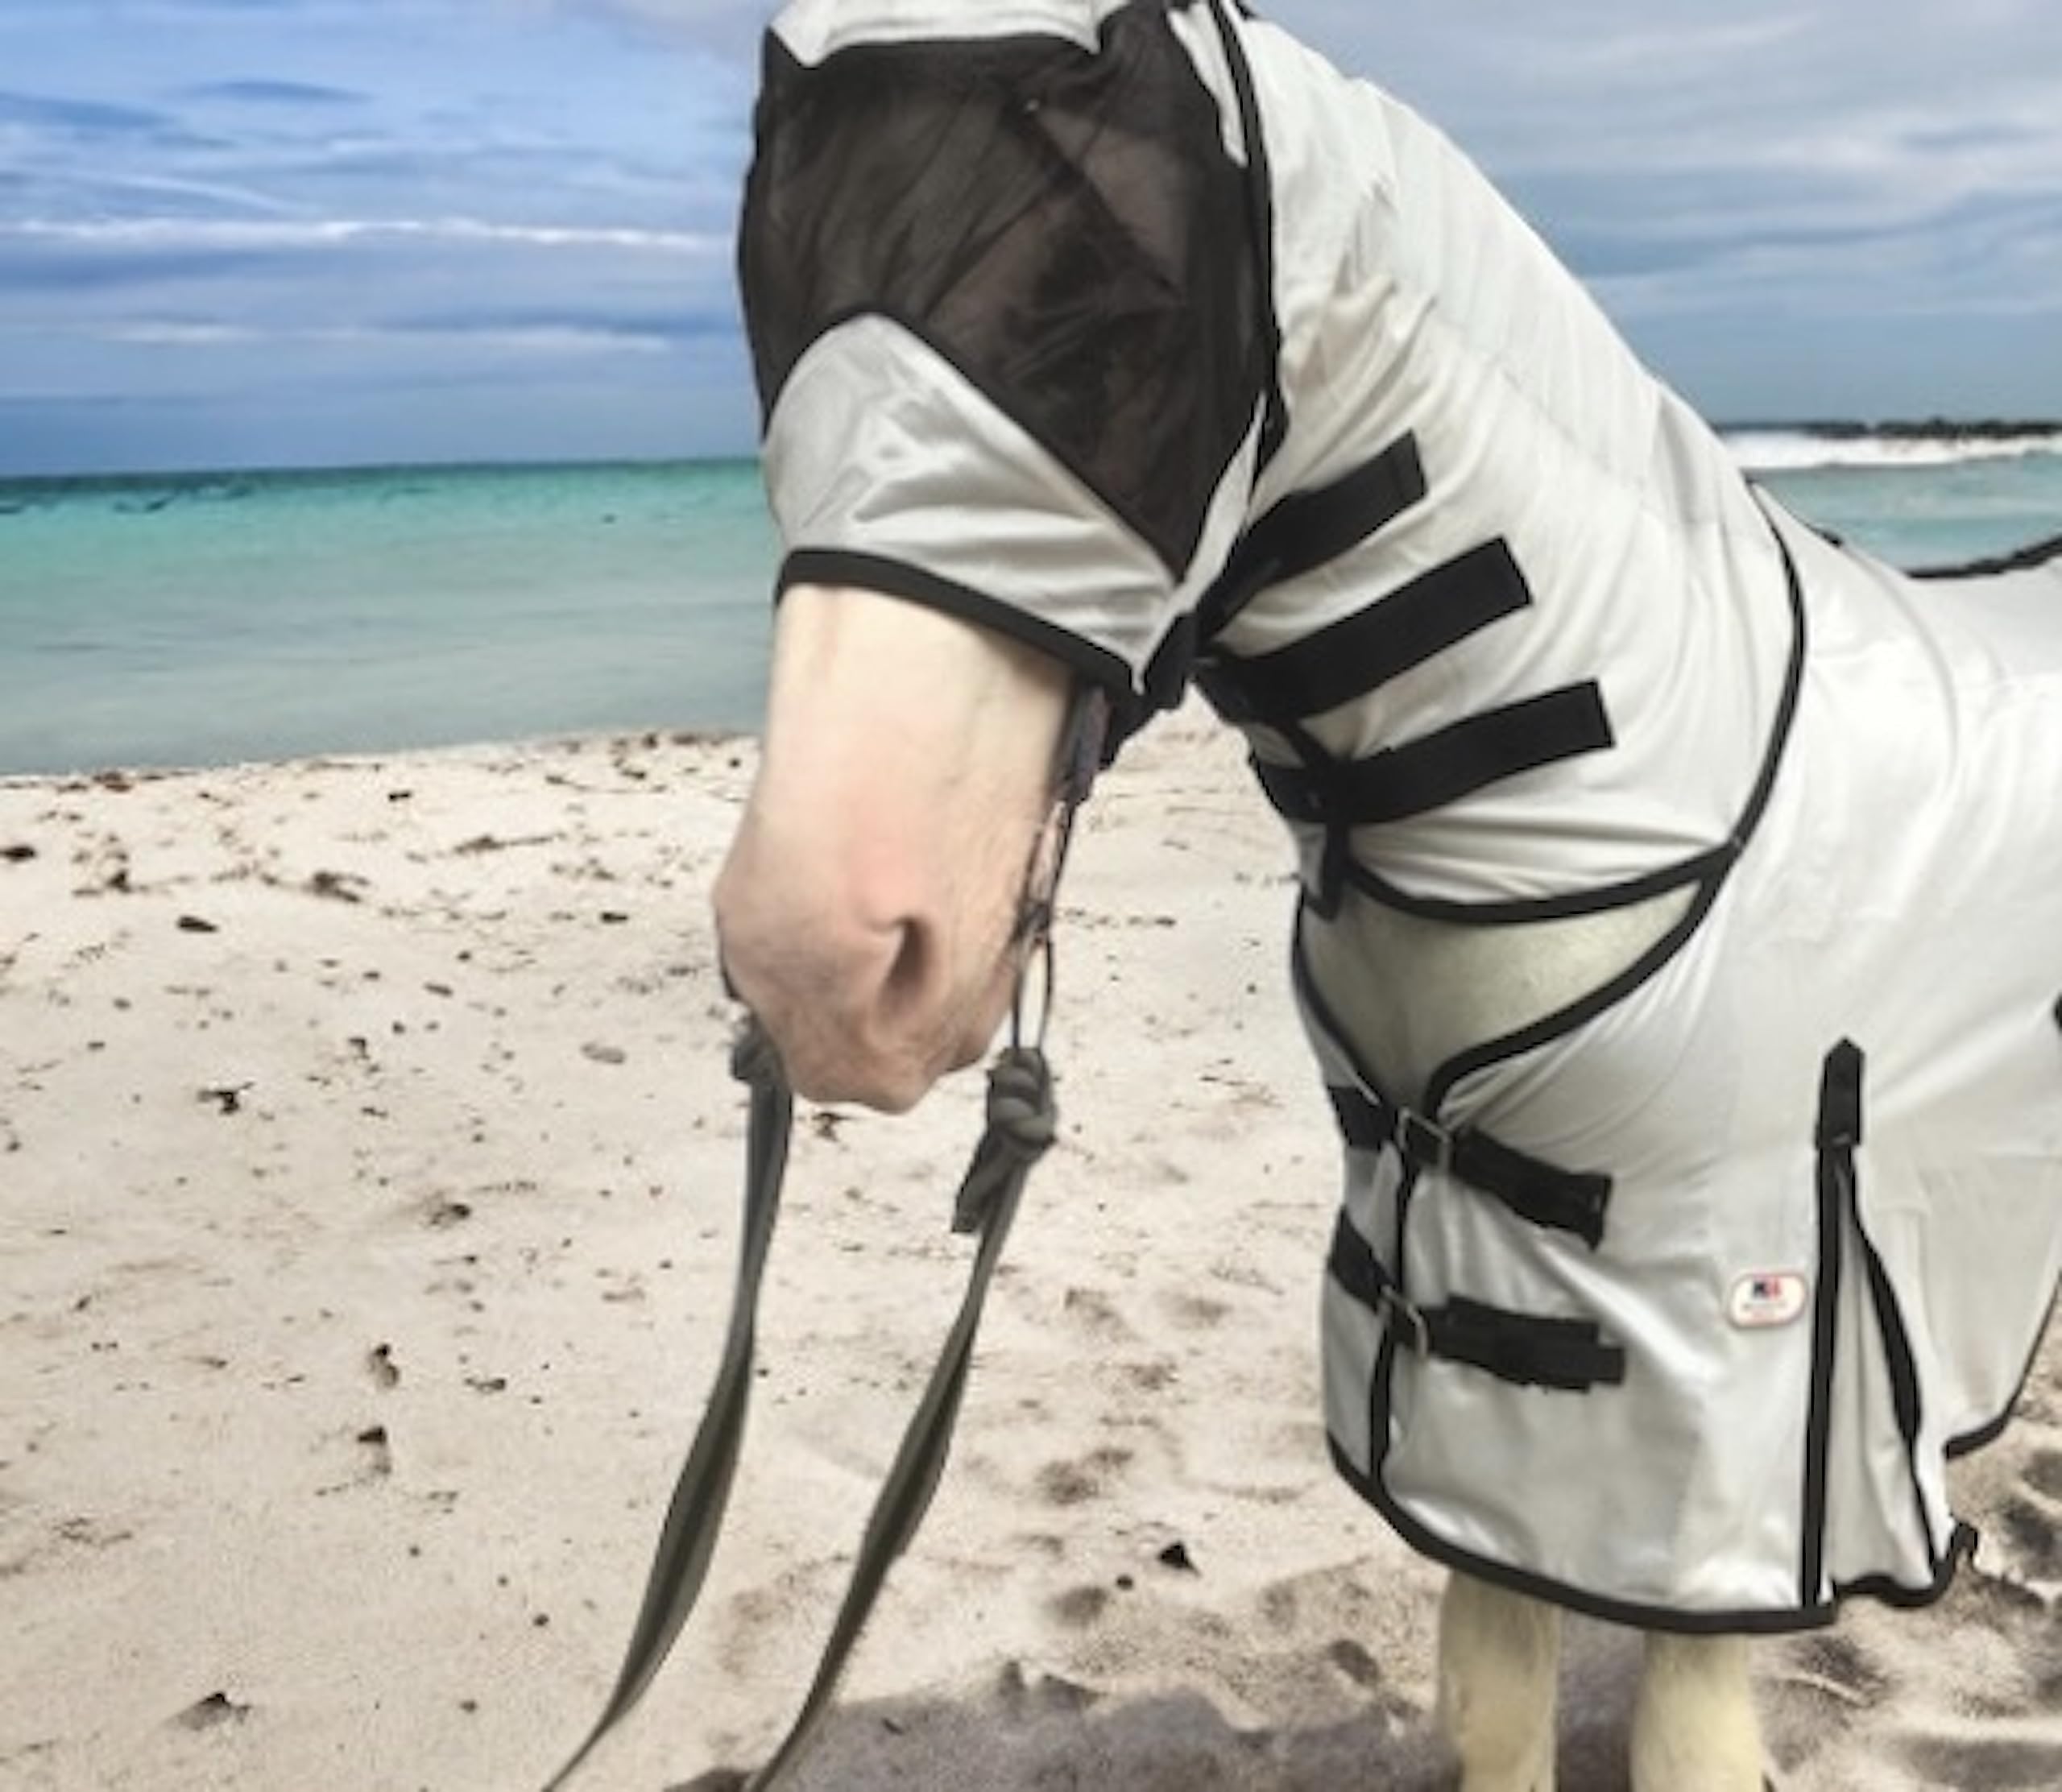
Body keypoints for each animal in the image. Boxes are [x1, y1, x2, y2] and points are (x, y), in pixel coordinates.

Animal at [709, 2, 2062, 1786]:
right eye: (773, 308)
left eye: (1115, 328)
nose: (817, 947)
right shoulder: (1484, 1446)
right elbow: (1492, 1699)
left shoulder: (1740, 1436)